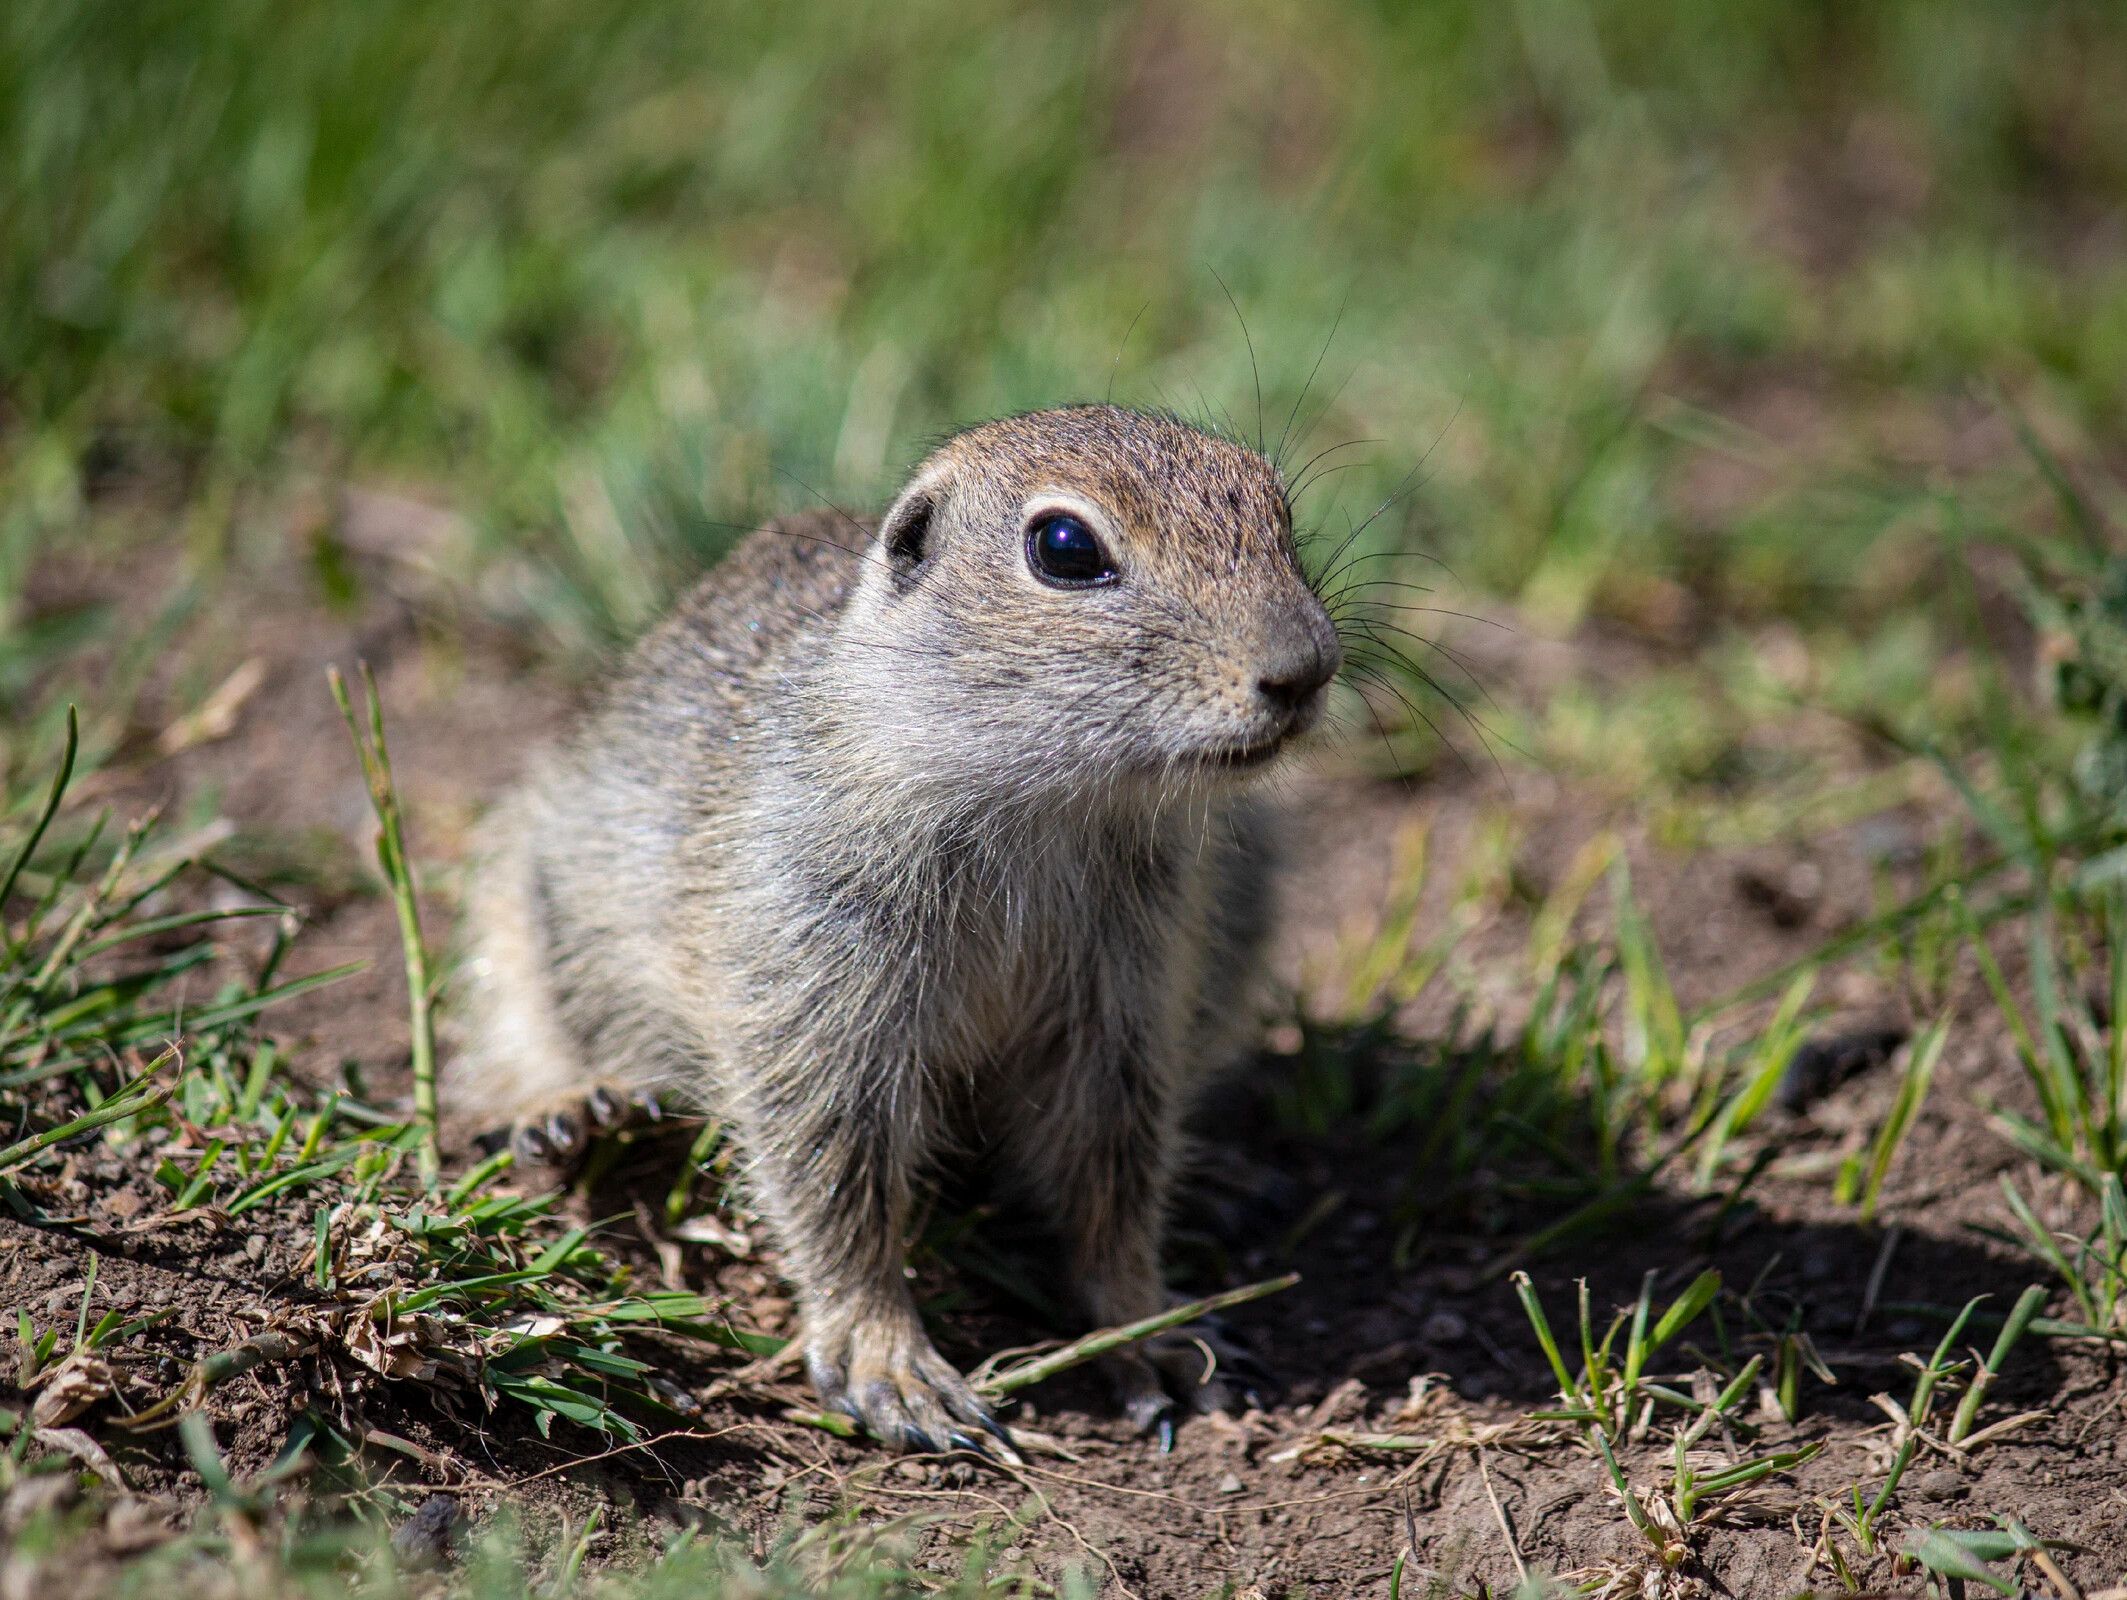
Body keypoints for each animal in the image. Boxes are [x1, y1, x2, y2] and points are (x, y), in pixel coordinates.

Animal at [455, 406, 1335, 1455]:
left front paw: (1151, 1328)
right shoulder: (809, 971)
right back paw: (573, 1106)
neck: (1046, 808)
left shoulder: (1129, 1000)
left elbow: (1112, 1173)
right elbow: (832, 1172)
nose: (1307, 670)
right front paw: (890, 1362)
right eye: (1065, 547)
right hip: (520, 892)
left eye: (1278, 511)